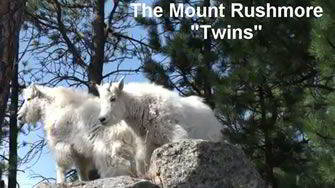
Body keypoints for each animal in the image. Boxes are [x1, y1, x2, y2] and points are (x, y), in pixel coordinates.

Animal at [96, 78, 224, 171]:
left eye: (113, 98)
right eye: (101, 100)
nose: (102, 119)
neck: (142, 107)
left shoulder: (173, 133)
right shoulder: (148, 143)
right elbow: (143, 161)